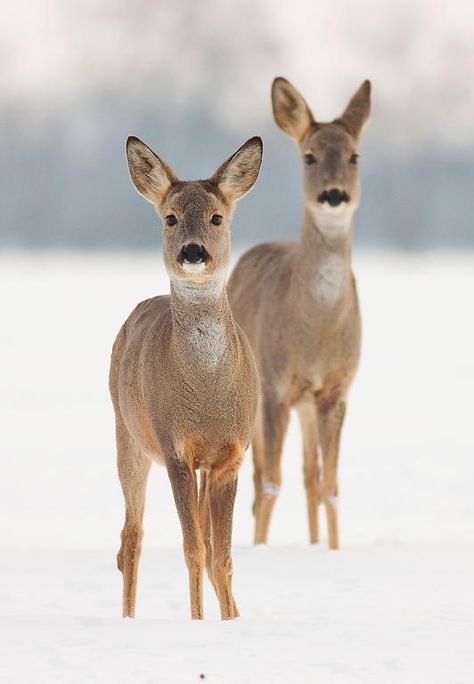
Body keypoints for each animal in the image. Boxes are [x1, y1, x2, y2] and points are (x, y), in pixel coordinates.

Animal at [110, 134, 262, 620]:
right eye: (170, 217)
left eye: (217, 217)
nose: (193, 251)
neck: (208, 395)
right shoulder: (175, 447)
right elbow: (193, 548)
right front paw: (197, 622)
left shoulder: (230, 455)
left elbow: (222, 554)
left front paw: (229, 620)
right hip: (128, 436)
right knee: (131, 537)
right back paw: (127, 617)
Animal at [227, 77, 370, 548]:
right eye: (309, 156)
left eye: (354, 155)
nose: (334, 194)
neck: (317, 331)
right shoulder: (274, 387)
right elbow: (271, 482)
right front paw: (259, 549)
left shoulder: (336, 391)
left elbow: (331, 485)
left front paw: (333, 550)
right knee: (257, 479)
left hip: (307, 406)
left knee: (309, 475)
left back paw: (311, 543)